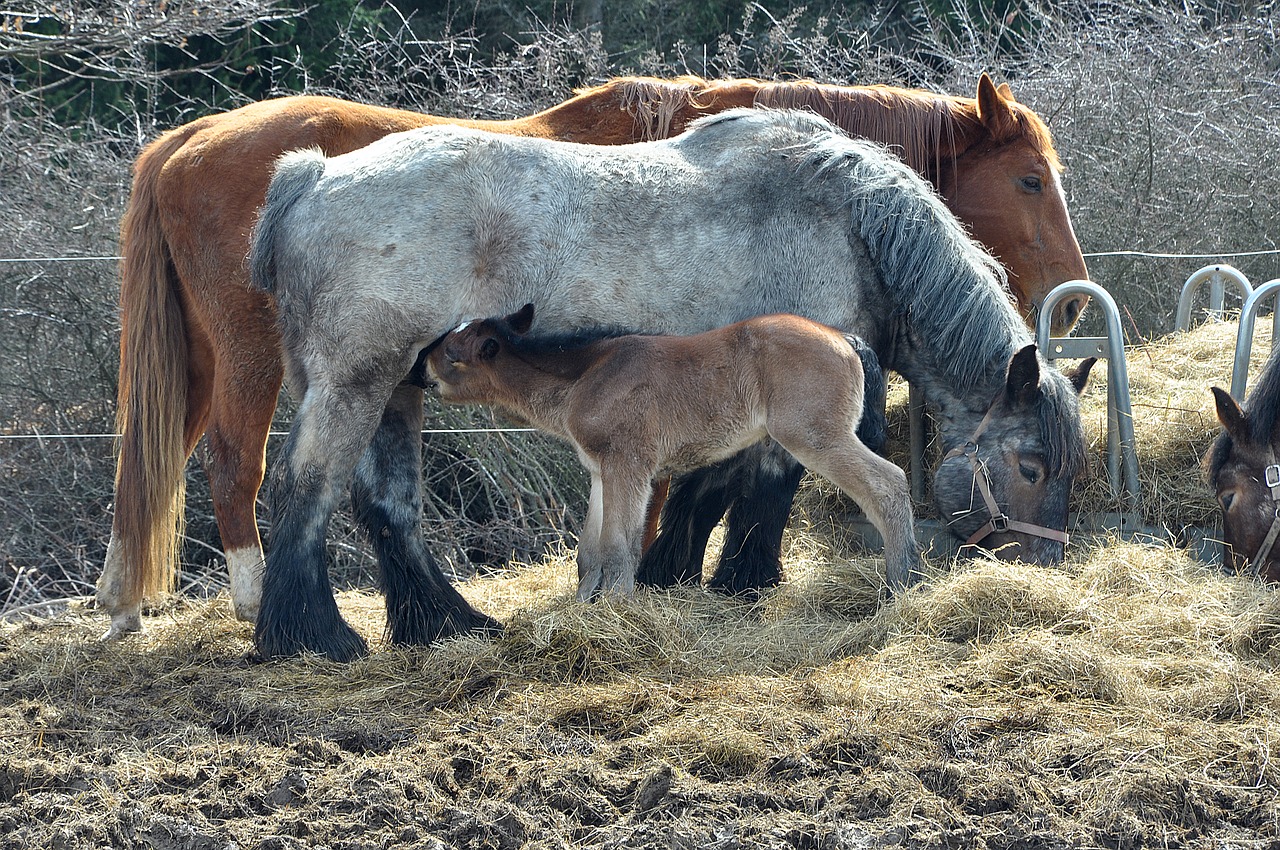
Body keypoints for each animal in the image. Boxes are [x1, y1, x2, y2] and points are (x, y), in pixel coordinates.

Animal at [427, 305, 921, 596]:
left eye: (452, 354)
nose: (419, 369)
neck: (587, 374)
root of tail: (846, 339)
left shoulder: (628, 466)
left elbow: (618, 548)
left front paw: (617, 610)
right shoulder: (601, 472)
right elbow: (589, 552)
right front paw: (584, 608)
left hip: (817, 436)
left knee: (889, 485)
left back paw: (903, 580)